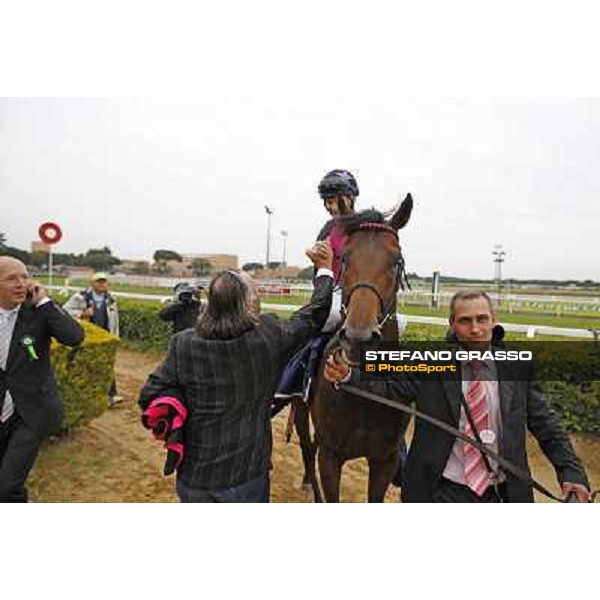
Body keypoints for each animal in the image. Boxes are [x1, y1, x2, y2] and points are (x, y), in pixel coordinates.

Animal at [294, 196, 412, 502]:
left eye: (396, 261)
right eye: (345, 258)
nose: (360, 337)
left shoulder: (385, 459)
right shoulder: (331, 455)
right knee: (306, 447)